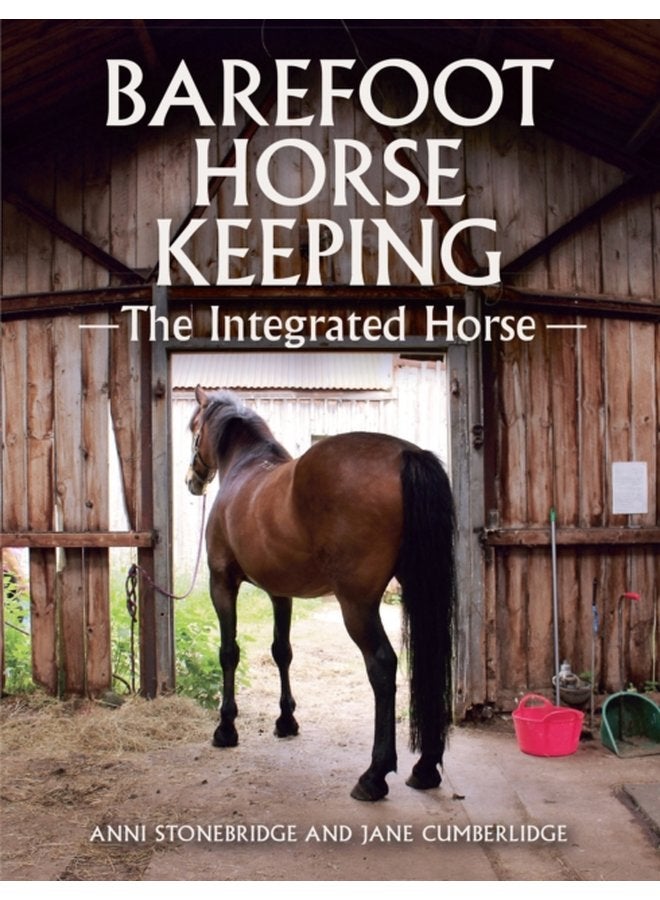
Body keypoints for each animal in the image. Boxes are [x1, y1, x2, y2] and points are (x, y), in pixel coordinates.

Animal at [186, 386, 456, 802]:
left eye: (192, 427)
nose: (192, 480)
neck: (246, 468)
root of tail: (407, 455)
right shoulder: (280, 592)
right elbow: (282, 652)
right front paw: (286, 721)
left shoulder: (222, 582)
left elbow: (228, 652)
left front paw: (226, 729)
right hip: (416, 588)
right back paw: (424, 768)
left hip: (357, 604)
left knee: (382, 665)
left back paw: (374, 776)